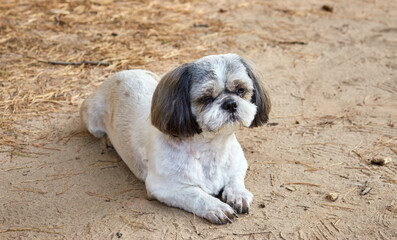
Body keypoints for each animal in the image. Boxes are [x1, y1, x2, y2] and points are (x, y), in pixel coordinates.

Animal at [79, 53, 270, 224]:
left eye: (241, 90)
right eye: (206, 98)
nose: (230, 103)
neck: (210, 149)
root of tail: (122, 73)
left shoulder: (239, 163)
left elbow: (235, 180)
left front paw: (238, 195)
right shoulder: (164, 187)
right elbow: (196, 195)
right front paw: (216, 207)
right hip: (93, 121)